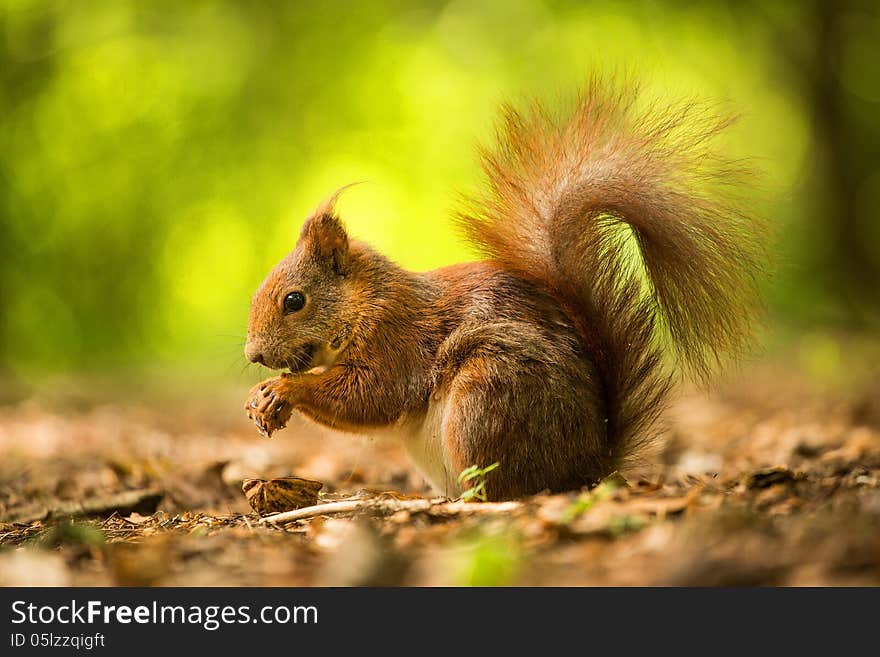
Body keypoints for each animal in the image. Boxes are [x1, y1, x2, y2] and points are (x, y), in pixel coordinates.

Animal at [244, 79, 768, 500]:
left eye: (294, 300)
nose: (253, 355)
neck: (364, 302)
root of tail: (586, 468)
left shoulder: (397, 339)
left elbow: (371, 395)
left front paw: (281, 389)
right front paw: (260, 397)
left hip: (487, 397)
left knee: (503, 490)